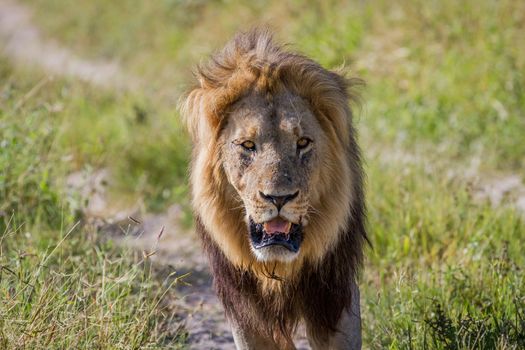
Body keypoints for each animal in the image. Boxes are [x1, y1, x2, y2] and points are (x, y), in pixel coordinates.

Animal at [180, 30, 364, 350]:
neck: (278, 269)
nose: (279, 198)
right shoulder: (247, 313)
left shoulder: (335, 297)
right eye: (248, 145)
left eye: (302, 143)